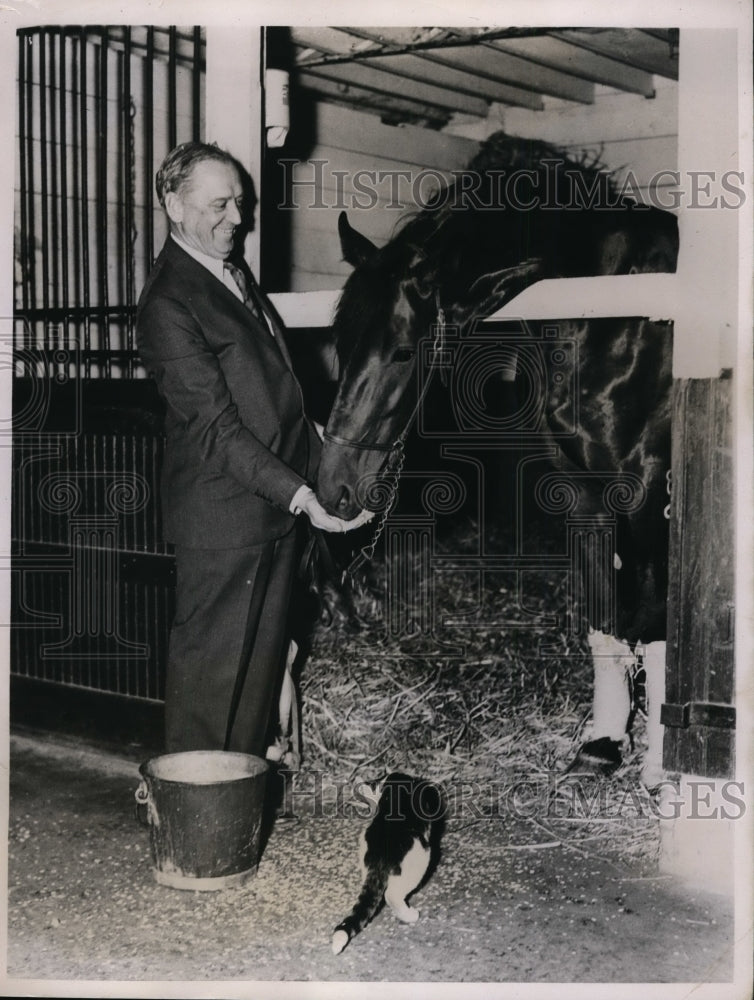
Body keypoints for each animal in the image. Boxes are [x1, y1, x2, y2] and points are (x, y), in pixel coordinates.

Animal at [314, 131, 680, 780]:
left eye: (403, 350)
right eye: (340, 342)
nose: (335, 489)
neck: (607, 311)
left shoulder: (647, 494)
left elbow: (653, 623)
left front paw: (661, 769)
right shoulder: (587, 495)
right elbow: (606, 623)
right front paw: (602, 745)